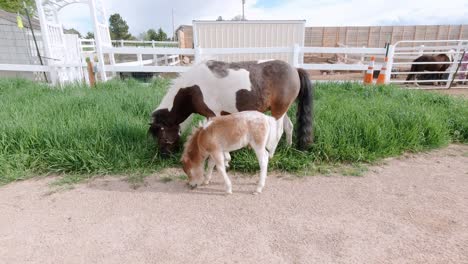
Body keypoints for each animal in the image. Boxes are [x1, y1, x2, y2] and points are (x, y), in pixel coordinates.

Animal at [148, 59, 312, 155]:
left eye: (161, 133)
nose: (163, 155)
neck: (192, 89)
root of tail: (295, 69)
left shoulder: (213, 114)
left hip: (278, 111)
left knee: (278, 132)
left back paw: (270, 154)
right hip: (281, 109)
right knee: (289, 127)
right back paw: (287, 148)